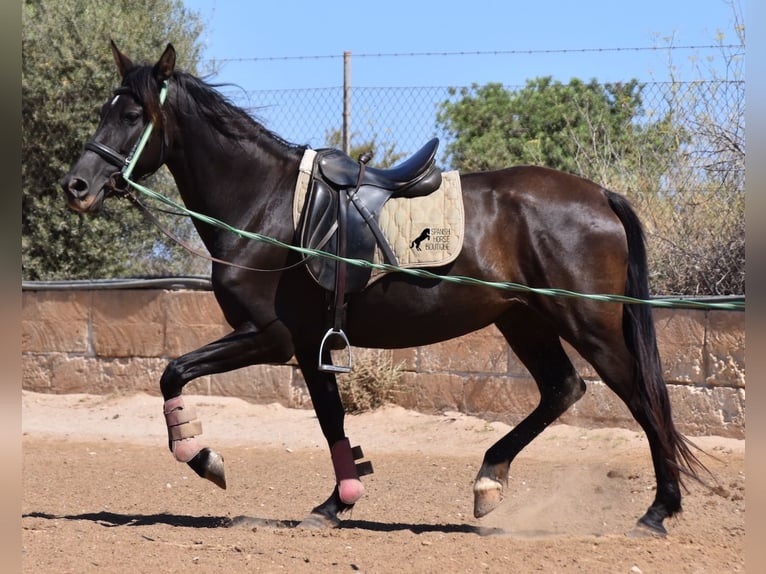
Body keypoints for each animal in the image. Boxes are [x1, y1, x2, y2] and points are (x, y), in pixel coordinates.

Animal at [60, 41, 704, 540]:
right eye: (105, 109)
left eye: (133, 114)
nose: (77, 186)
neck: (266, 204)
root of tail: (601, 196)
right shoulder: (310, 345)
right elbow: (331, 421)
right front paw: (337, 501)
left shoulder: (270, 336)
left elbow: (173, 372)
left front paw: (206, 460)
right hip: (523, 319)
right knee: (562, 389)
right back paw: (489, 480)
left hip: (587, 322)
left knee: (643, 399)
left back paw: (658, 511)